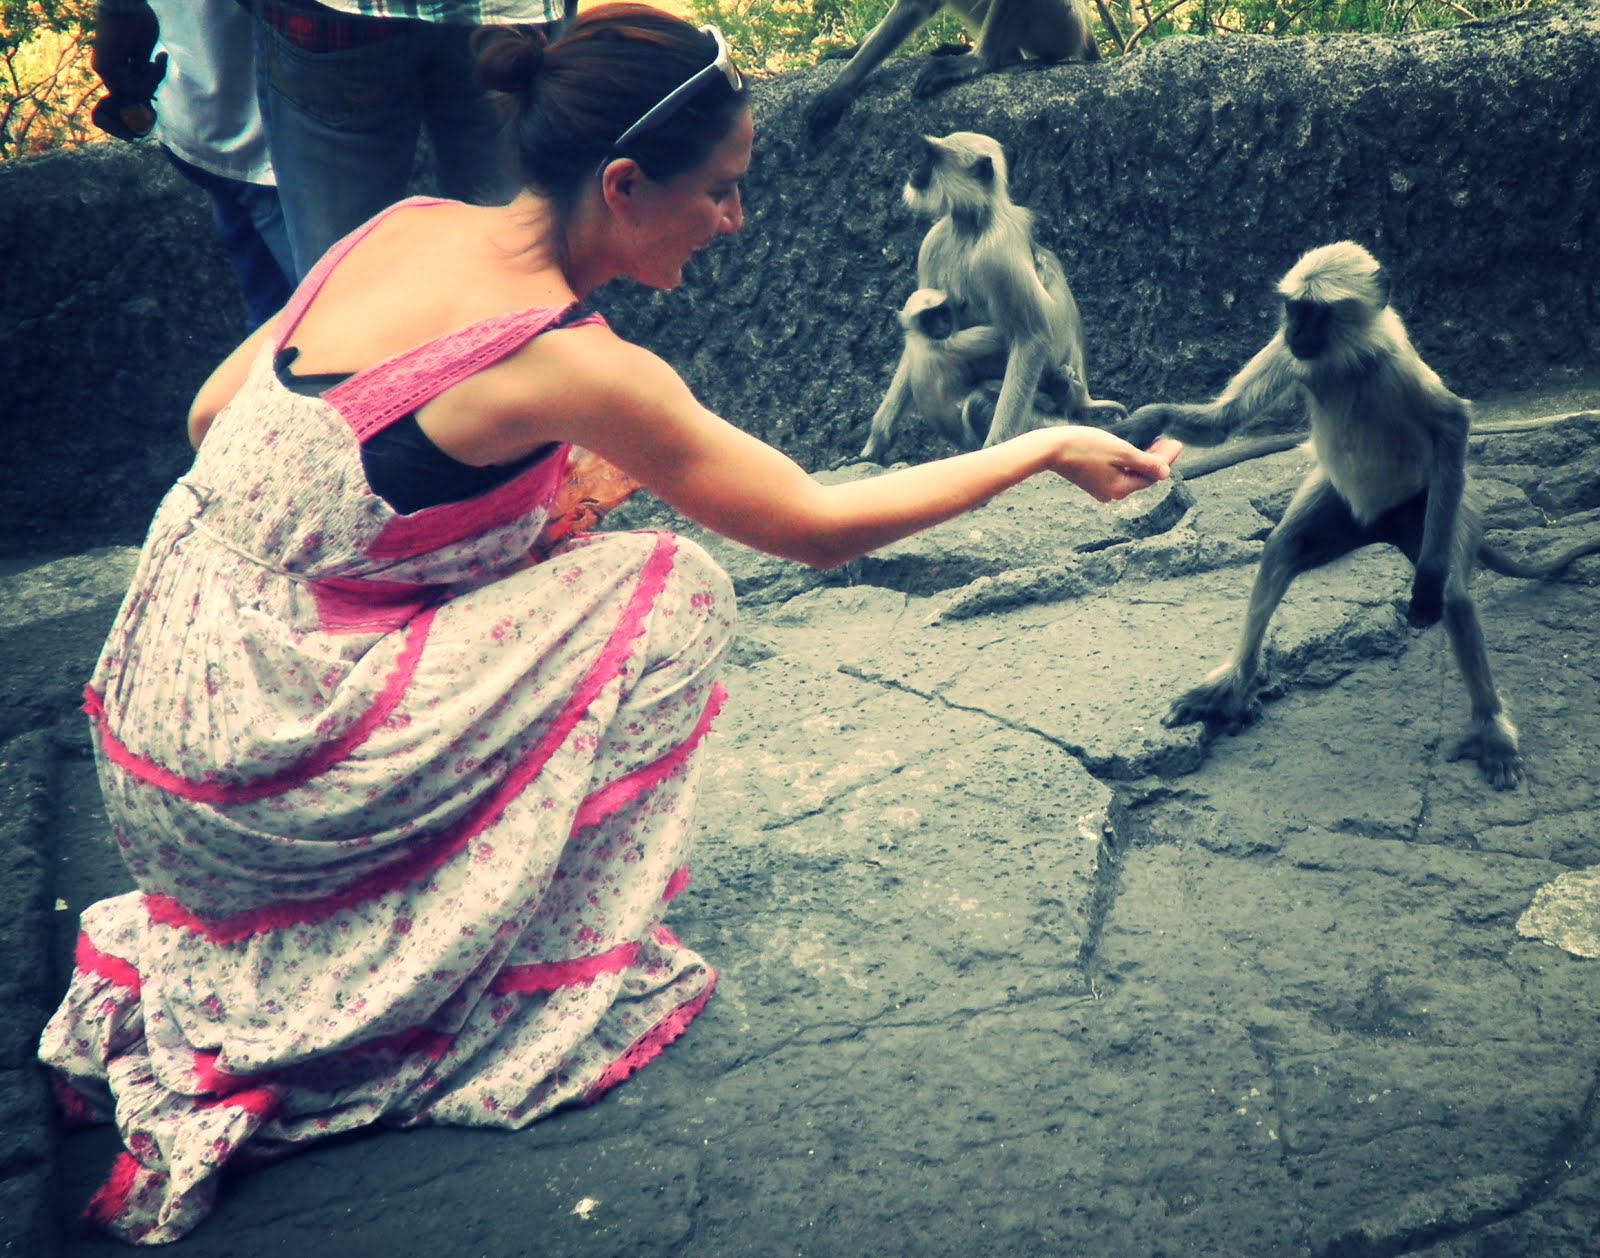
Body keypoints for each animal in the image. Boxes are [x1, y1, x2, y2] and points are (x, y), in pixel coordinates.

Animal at [864, 131, 1126, 460]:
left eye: (930, 156)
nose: (914, 169)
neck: (972, 226)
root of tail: (1083, 400)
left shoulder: (999, 251)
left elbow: (1030, 338)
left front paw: (996, 450)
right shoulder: (933, 241)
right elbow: (914, 338)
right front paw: (876, 441)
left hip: (1046, 423)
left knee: (980, 401)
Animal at [1113, 241, 1600, 790]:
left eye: (1316, 313)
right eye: (1294, 310)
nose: (1296, 331)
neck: (1343, 362)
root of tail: (1383, 522)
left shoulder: (1395, 364)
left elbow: (1454, 425)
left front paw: (1428, 583)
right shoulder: (1286, 352)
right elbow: (1224, 422)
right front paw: (1143, 423)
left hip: (1436, 504)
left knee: (1453, 597)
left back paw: (1490, 727)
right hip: (1342, 506)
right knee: (1283, 548)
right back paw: (1235, 684)